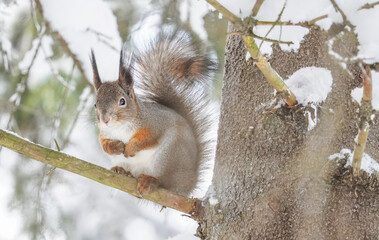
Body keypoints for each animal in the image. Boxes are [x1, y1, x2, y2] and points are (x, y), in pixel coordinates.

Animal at [89, 30, 218, 196]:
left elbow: (148, 138)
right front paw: (114, 147)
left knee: (166, 183)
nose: (105, 119)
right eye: (95, 104)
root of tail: (189, 185)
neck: (121, 127)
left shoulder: (157, 123)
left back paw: (151, 181)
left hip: (169, 156)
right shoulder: (105, 133)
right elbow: (103, 143)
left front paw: (130, 147)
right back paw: (122, 171)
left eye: (122, 101)